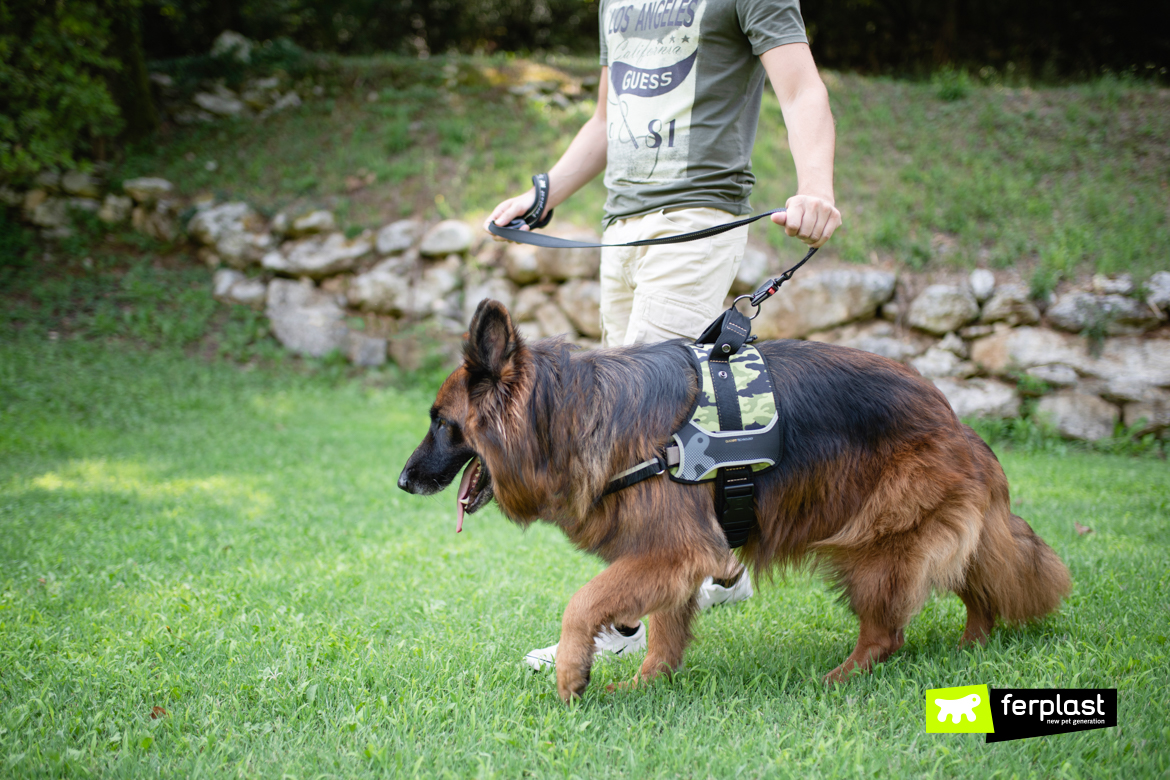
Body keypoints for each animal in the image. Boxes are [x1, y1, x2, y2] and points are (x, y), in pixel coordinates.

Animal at [397, 299, 1071, 701]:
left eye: (441, 424)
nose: (402, 483)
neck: (568, 415)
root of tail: (954, 418)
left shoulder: (674, 551)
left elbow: (582, 603)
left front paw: (572, 674)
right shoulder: (672, 558)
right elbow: (664, 633)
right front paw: (644, 684)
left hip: (872, 549)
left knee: (889, 632)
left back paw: (840, 678)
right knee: (977, 579)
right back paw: (973, 644)